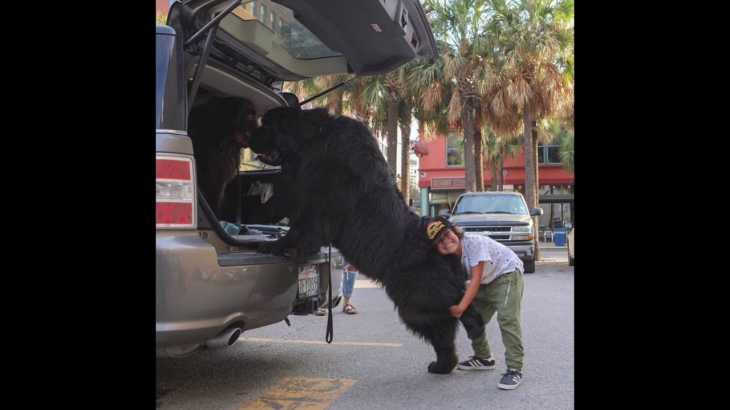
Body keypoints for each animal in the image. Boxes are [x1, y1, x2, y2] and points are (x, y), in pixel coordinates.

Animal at [249, 107, 484, 374]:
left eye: (267, 124)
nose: (248, 134)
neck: (314, 139)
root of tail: (443, 243)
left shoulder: (315, 207)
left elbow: (298, 231)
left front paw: (276, 246)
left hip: (417, 298)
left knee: (452, 312)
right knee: (448, 321)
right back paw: (445, 362)